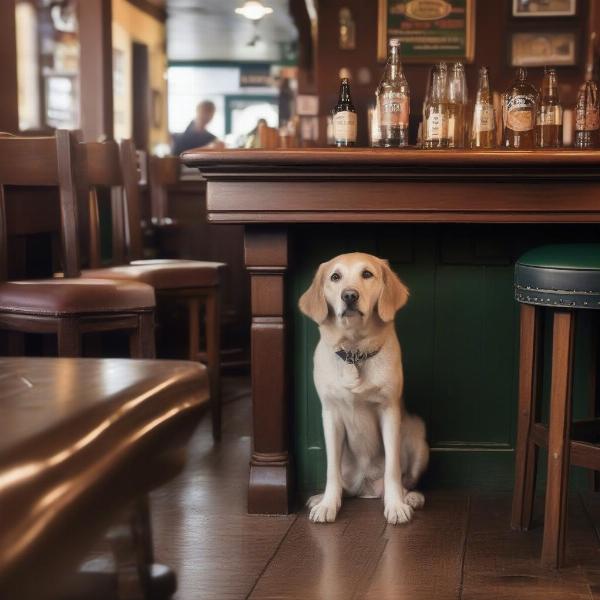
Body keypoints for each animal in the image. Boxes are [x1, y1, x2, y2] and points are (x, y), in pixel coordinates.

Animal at [300, 251, 426, 524]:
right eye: (335, 277)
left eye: (367, 274)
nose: (349, 295)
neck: (354, 351)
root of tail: (366, 488)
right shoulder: (330, 414)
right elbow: (332, 471)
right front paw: (328, 504)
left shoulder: (389, 411)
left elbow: (393, 469)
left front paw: (396, 505)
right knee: (342, 483)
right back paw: (322, 497)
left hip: (418, 436)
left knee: (406, 479)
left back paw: (409, 497)